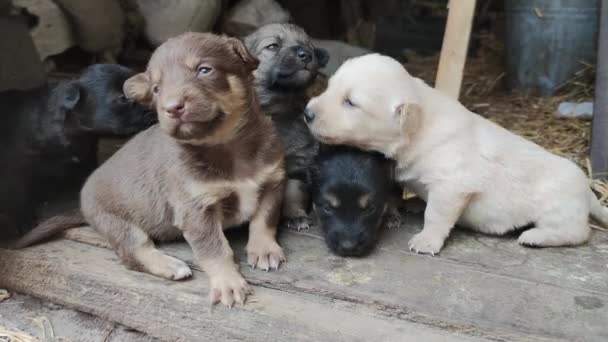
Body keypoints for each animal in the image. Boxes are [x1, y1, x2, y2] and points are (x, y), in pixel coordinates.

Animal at [0, 65, 156, 240]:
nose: (155, 109)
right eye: (123, 98)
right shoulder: (14, 170)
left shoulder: (87, 155)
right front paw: (25, 223)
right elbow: (17, 197)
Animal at [242, 23, 330, 230]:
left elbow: (292, 193)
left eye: (309, 47)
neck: (280, 111)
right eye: (273, 46)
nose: (306, 55)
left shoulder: (297, 165)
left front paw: (295, 215)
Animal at [306, 53, 604, 255]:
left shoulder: (452, 186)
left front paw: (426, 240)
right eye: (329, 87)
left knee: (577, 232)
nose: (307, 113)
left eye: (350, 102)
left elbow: (436, 215)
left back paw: (536, 237)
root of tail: (587, 188)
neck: (420, 128)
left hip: (558, 209)